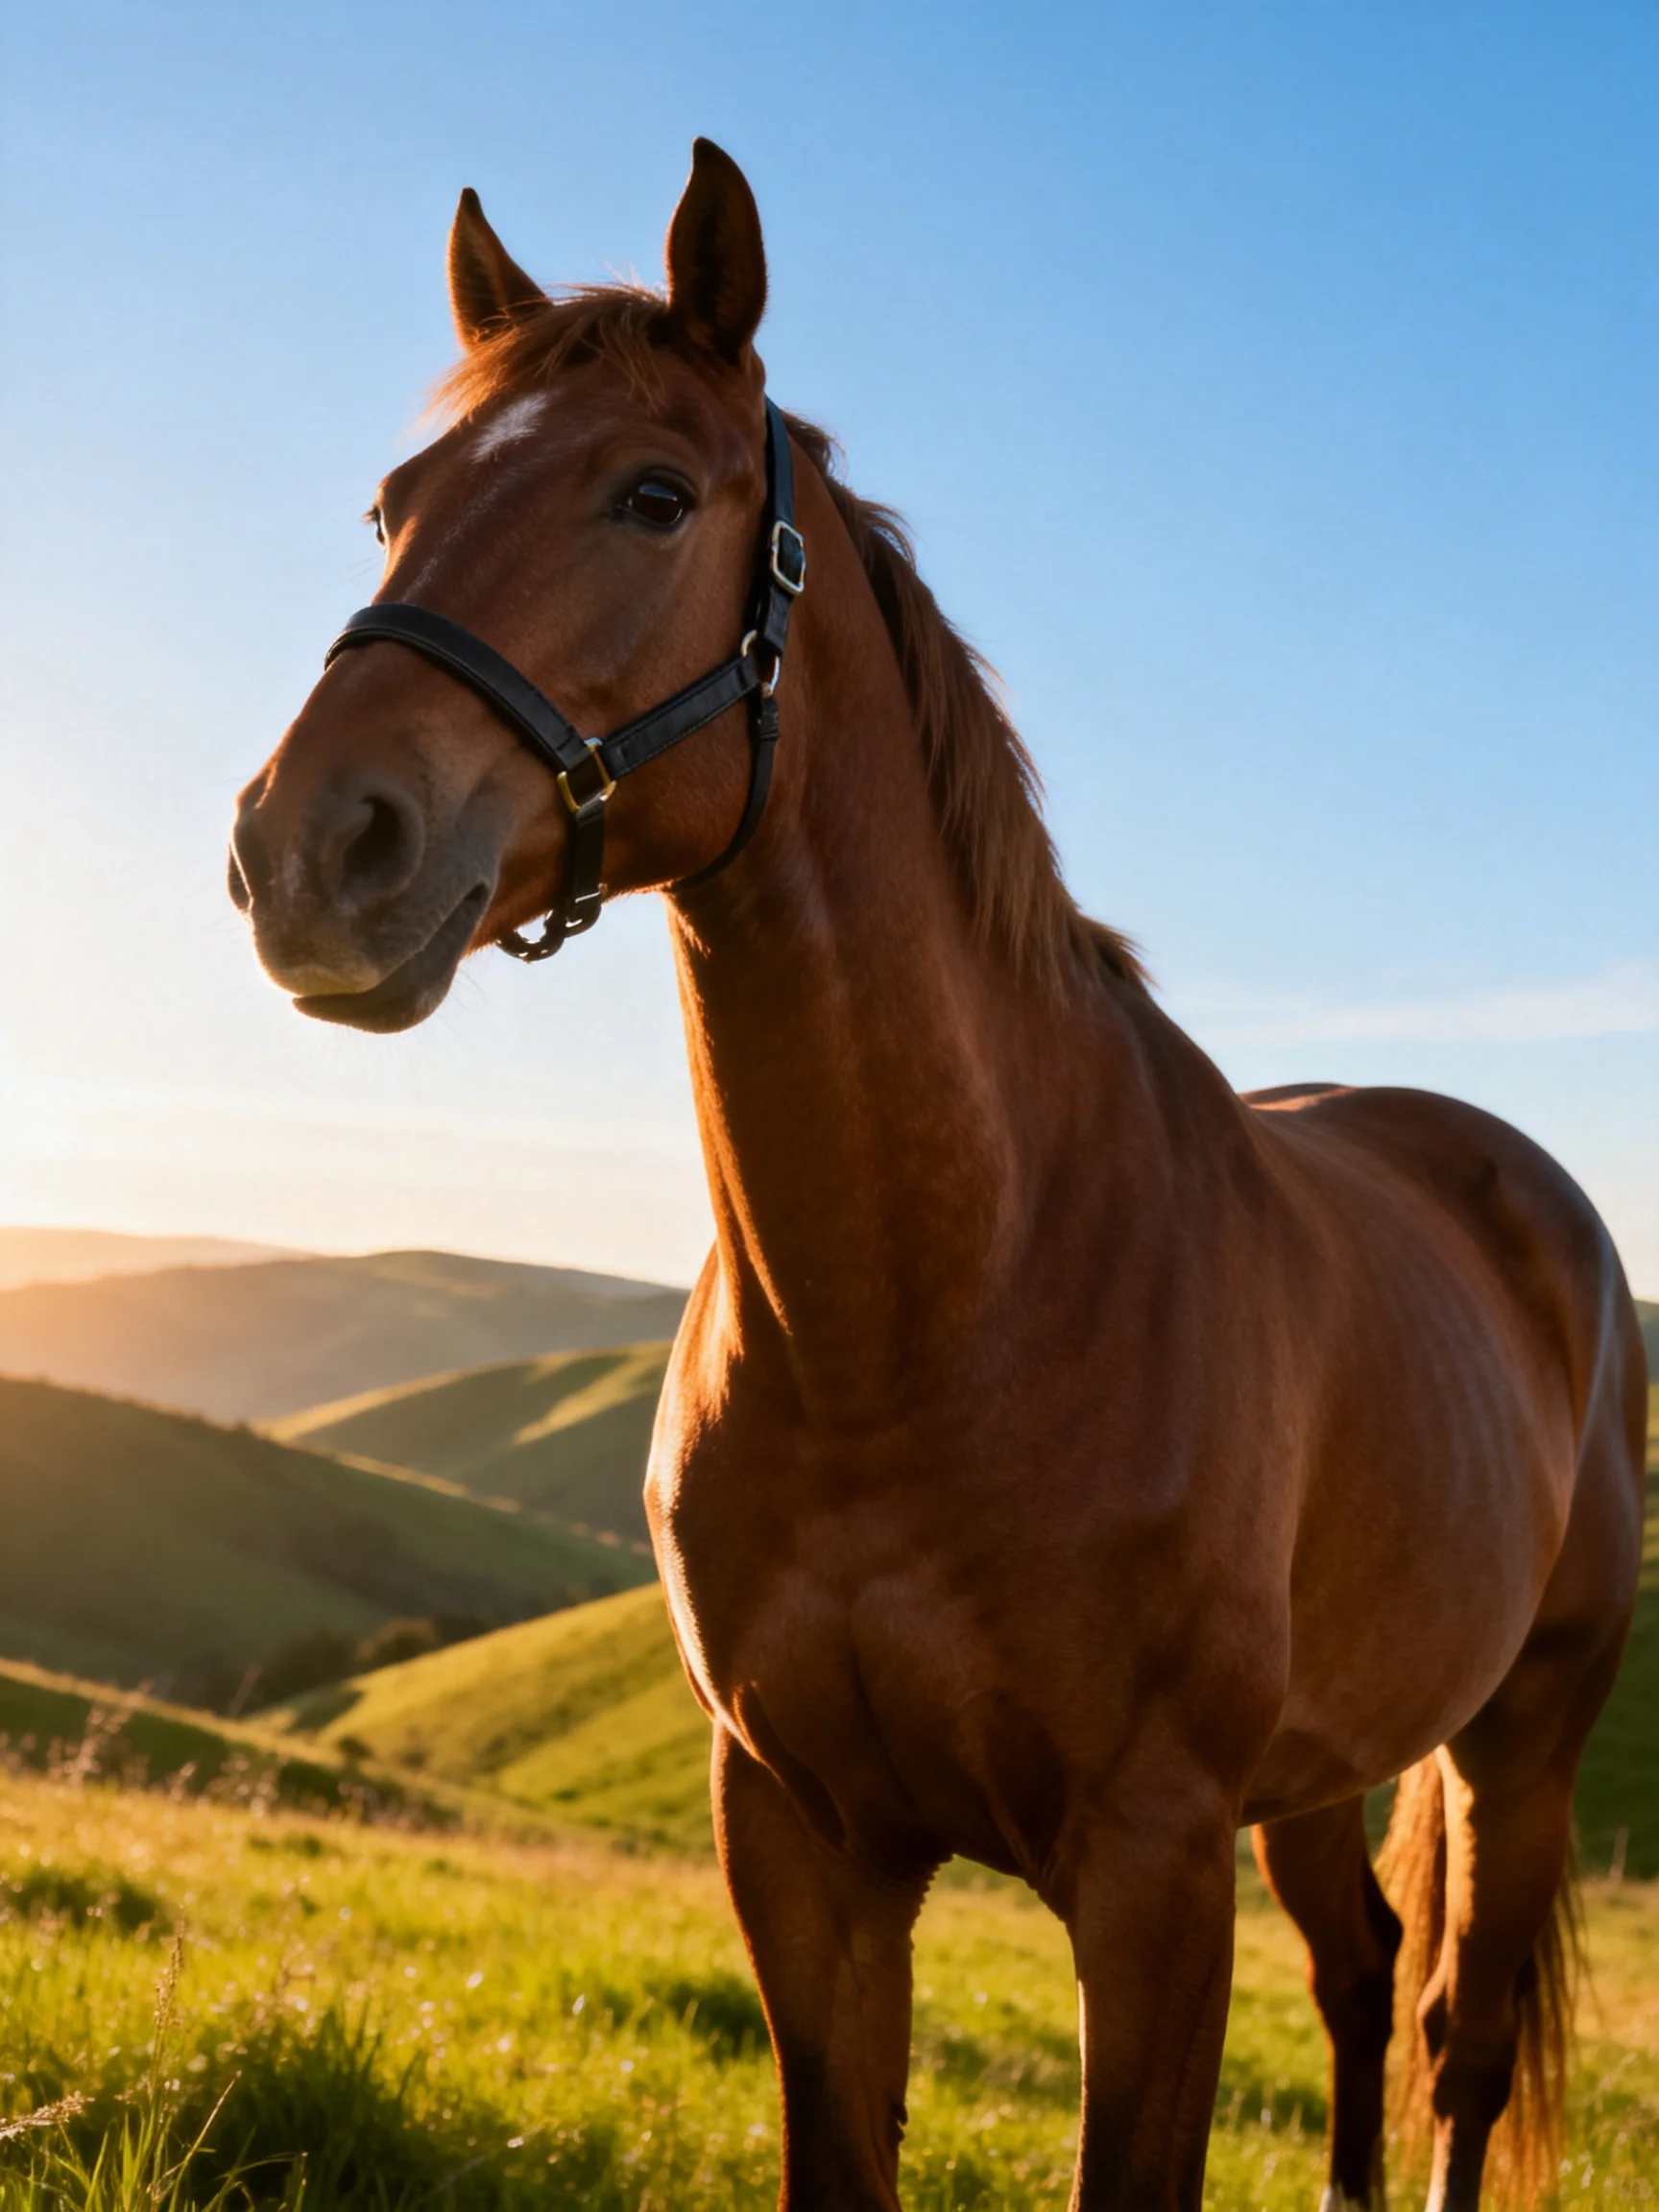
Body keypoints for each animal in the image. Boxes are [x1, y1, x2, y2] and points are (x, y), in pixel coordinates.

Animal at [229, 140, 1646, 2212]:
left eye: (653, 495)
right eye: (395, 505)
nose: (310, 851)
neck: (940, 1304)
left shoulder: (1148, 1870)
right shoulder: (802, 1845)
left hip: (1520, 1738)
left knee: (1459, 2035)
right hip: (1324, 1766)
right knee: (1362, 1970)